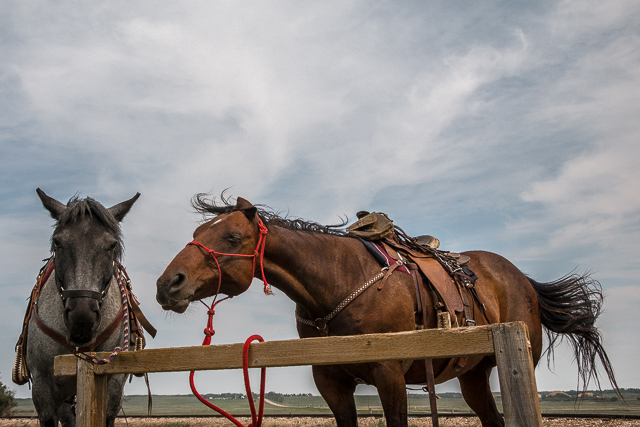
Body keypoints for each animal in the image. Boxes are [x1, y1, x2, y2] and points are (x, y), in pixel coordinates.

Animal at [155, 194, 622, 427]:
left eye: (232, 237)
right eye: (199, 231)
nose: (167, 284)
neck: (340, 283)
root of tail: (520, 277)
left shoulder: (389, 374)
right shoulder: (331, 382)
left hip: (517, 362)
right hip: (472, 375)